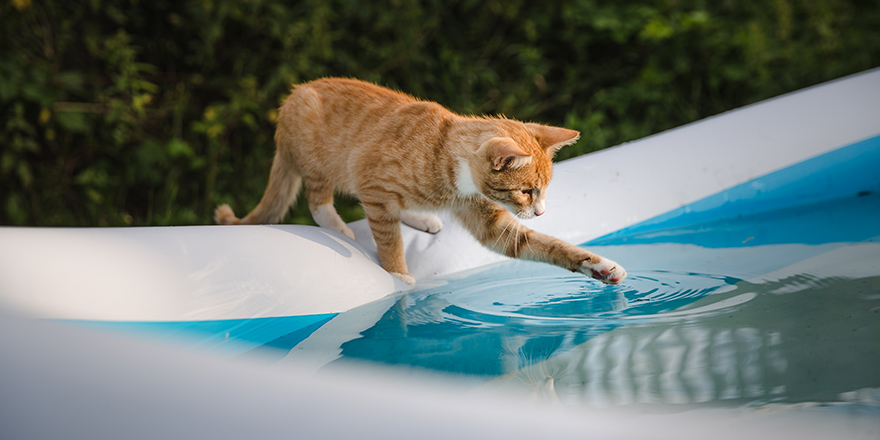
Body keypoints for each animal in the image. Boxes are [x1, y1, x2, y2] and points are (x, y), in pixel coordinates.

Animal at [213, 78, 624, 286]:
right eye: (526, 191)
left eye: (544, 190)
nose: (540, 212)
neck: (445, 156)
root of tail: (292, 96)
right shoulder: (374, 188)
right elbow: (388, 238)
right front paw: (399, 275)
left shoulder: (490, 224)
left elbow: (547, 246)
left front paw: (599, 266)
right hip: (317, 155)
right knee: (318, 199)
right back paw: (338, 227)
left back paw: (421, 217)